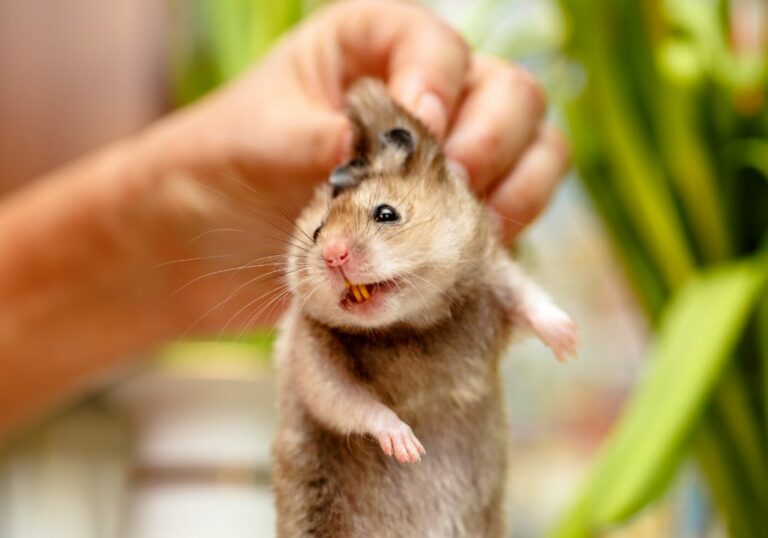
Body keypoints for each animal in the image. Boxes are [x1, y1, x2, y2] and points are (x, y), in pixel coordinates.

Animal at [272, 79, 578, 538]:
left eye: (386, 213)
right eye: (317, 232)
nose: (333, 256)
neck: (409, 325)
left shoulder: (491, 271)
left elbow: (528, 298)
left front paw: (570, 342)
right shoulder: (310, 352)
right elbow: (345, 399)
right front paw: (409, 447)